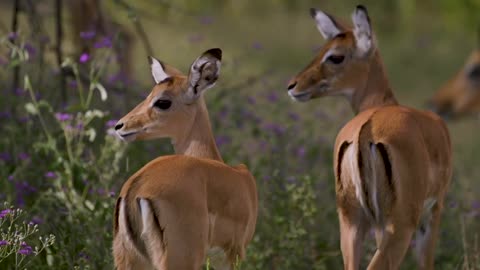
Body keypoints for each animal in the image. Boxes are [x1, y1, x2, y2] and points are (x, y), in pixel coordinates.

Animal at [111, 48, 258, 270]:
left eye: (162, 101)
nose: (120, 125)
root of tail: (134, 191)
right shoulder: (235, 253)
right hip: (181, 259)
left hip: (131, 261)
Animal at [286, 4, 452, 270]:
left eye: (334, 55)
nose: (293, 86)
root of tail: (367, 129)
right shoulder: (434, 210)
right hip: (400, 227)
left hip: (352, 223)